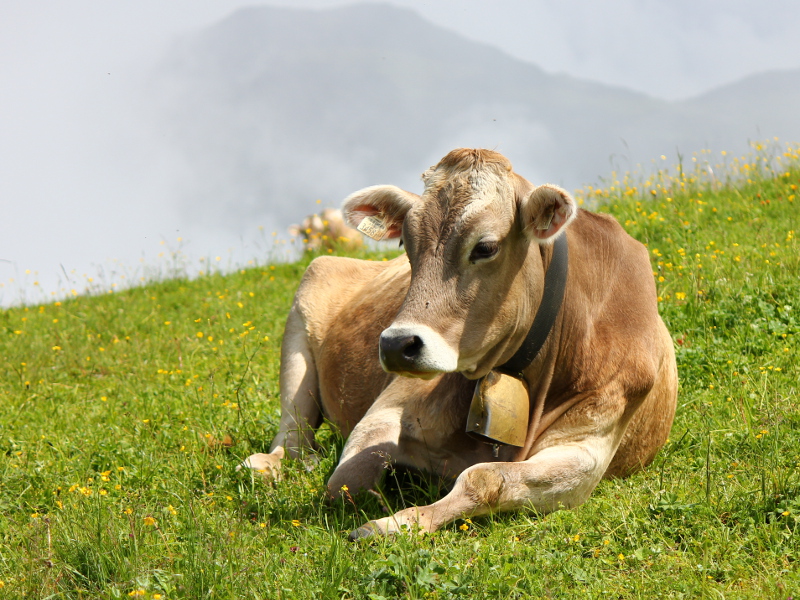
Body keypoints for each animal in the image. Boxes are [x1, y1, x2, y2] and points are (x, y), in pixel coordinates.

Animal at [242, 146, 676, 540]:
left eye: (485, 247)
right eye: (407, 245)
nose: (396, 344)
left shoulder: (587, 448)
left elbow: (484, 478)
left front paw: (395, 522)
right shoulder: (385, 409)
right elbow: (346, 483)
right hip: (303, 311)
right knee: (293, 433)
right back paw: (272, 464)